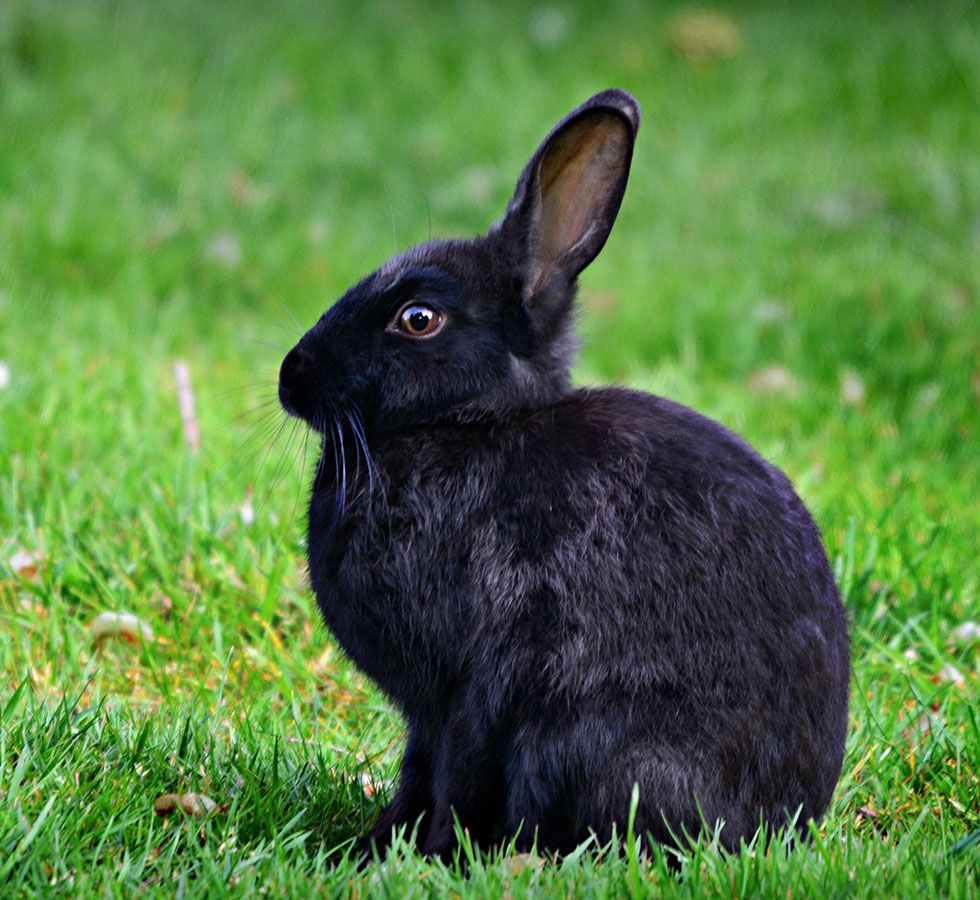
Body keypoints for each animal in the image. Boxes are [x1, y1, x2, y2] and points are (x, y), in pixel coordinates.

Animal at [278, 88, 850, 860]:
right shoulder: (430, 714)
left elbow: (454, 773)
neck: (468, 422)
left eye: (417, 318)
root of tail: (782, 826)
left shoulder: (475, 682)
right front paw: (375, 847)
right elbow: (417, 771)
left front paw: (426, 857)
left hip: (581, 739)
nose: (292, 375)